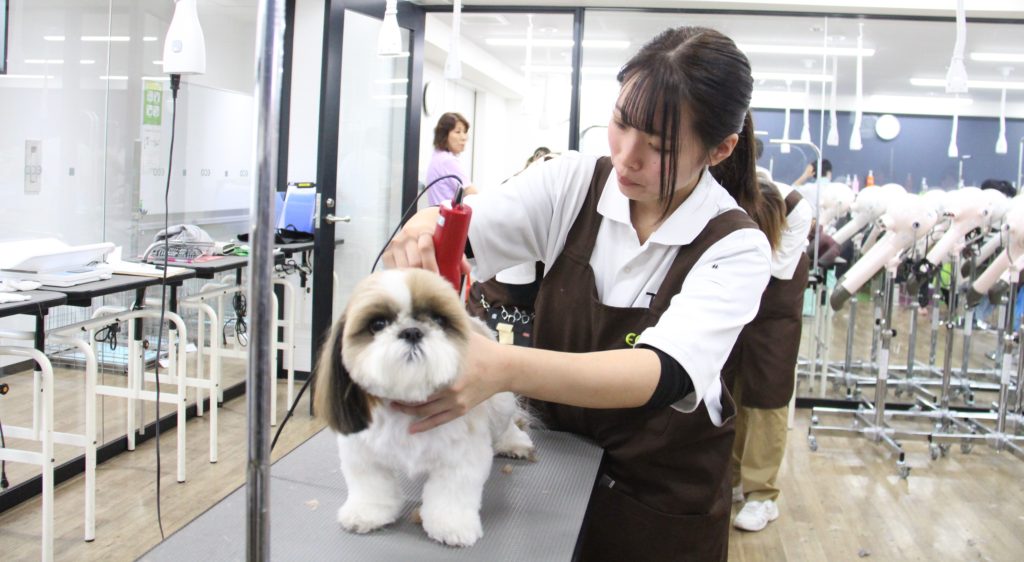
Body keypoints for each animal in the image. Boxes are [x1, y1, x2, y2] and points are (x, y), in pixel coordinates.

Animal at [313, 270, 536, 544]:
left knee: (505, 424)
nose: (411, 332)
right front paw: (367, 513)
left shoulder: (461, 457)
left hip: (499, 401)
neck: (408, 401)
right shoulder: (362, 451)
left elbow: (452, 492)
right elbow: (371, 485)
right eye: (378, 324)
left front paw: (451, 525)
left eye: (439, 320)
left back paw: (515, 443)